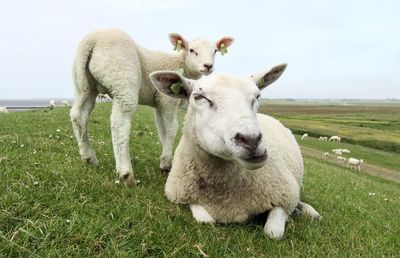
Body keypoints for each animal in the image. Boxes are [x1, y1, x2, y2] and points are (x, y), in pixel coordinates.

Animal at [70, 27, 234, 185]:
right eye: (192, 50)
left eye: (215, 51)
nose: (208, 66)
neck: (182, 65)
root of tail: (91, 40)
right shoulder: (168, 101)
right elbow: (172, 128)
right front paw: (166, 163)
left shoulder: (159, 103)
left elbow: (162, 130)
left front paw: (166, 157)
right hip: (122, 78)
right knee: (119, 122)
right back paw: (126, 174)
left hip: (83, 83)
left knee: (78, 115)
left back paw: (89, 158)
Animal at [148, 63, 320, 241]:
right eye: (199, 97)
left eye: (257, 96)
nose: (251, 140)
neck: (226, 194)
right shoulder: (181, 193)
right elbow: (205, 220)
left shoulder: (285, 194)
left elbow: (273, 233)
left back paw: (308, 211)